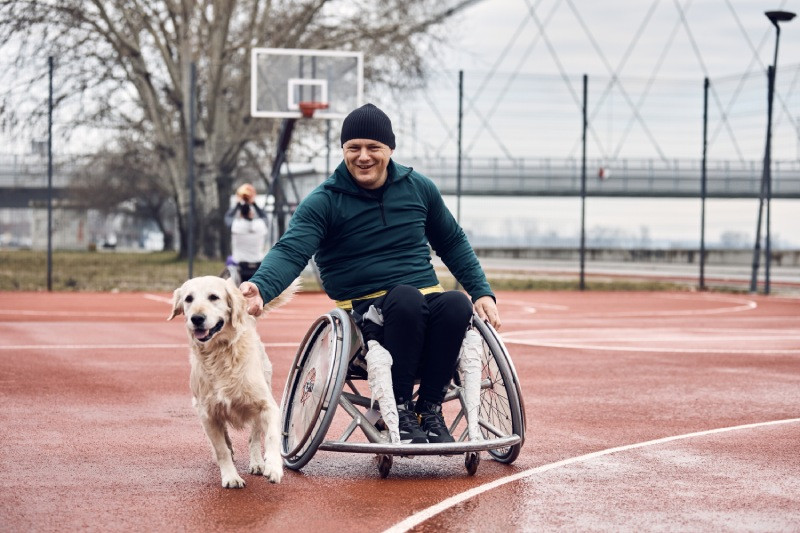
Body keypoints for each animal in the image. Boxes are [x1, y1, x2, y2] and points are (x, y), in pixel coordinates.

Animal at [169, 276, 296, 488]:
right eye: (188, 299)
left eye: (214, 297)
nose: (197, 318)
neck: (220, 355)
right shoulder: (207, 413)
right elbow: (221, 450)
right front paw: (230, 476)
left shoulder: (267, 406)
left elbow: (271, 436)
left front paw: (273, 467)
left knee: (254, 438)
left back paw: (257, 463)